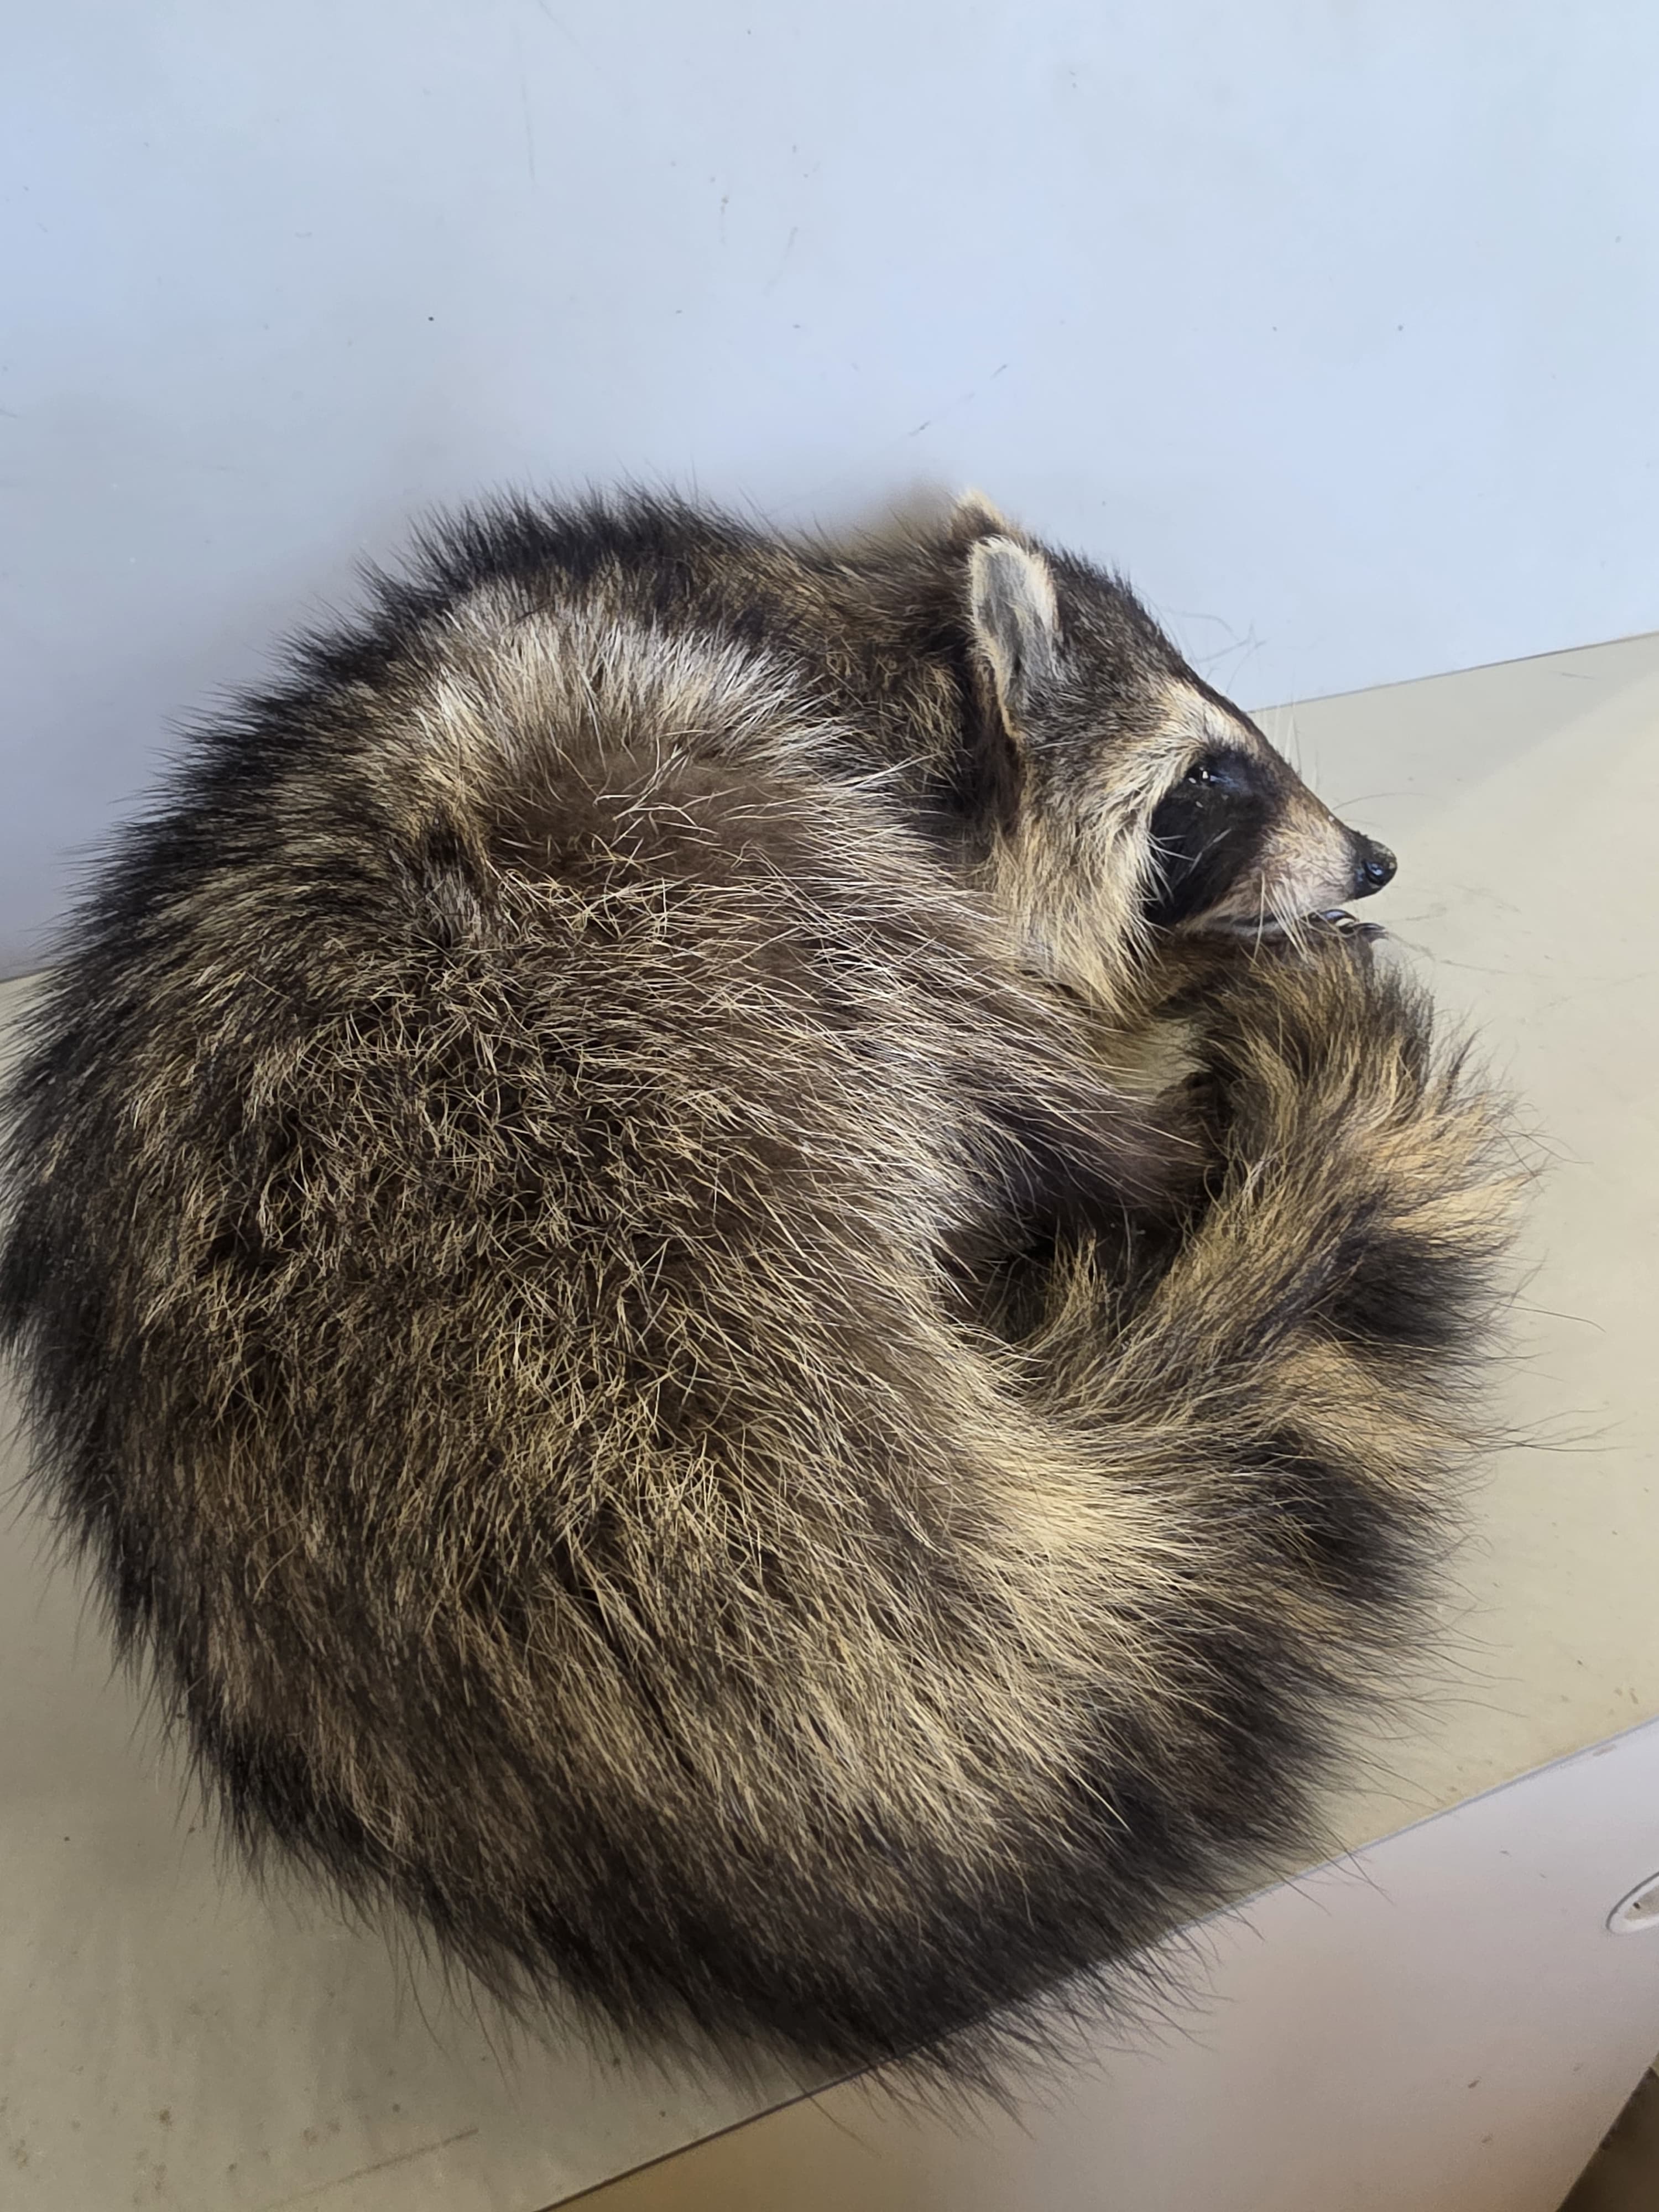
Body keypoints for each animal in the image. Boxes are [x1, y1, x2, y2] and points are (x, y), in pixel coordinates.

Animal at [0, 491, 1515, 2085]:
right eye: (1210, 782)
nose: (1373, 862)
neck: (853, 630)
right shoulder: (755, 761)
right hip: (659, 945)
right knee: (969, 1034)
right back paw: (1138, 1126)